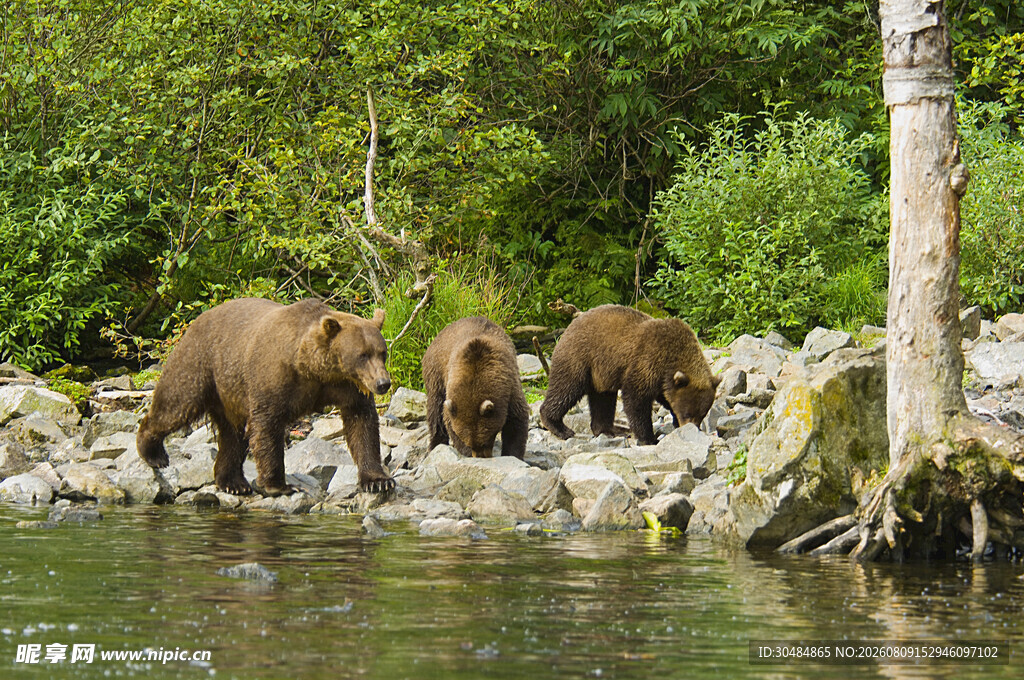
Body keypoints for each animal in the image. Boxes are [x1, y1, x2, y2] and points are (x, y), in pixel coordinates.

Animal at [136, 298, 394, 496]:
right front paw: (279, 485)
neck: (313, 368)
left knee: (232, 435)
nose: (383, 383)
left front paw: (378, 481)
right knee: (176, 404)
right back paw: (154, 454)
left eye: (382, 352)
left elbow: (362, 424)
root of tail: (198, 320)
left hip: (229, 391)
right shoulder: (274, 377)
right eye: (362, 355)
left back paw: (233, 483)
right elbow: (267, 426)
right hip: (200, 363)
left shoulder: (347, 387)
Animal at [422, 316, 529, 459]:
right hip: (435, 374)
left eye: (485, 439)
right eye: (469, 442)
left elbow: (516, 421)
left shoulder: (510, 388)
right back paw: (435, 444)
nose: (480, 456)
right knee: (435, 410)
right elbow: (447, 420)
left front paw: (512, 454)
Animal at [540, 304, 720, 446]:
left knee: (602, 399)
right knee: (566, 388)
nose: (692, 428)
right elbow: (636, 399)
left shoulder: (662, 380)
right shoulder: (647, 361)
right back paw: (560, 427)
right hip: (580, 358)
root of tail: (569, 328)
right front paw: (649, 438)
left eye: (702, 414)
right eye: (687, 413)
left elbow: (665, 398)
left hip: (601, 374)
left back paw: (610, 429)